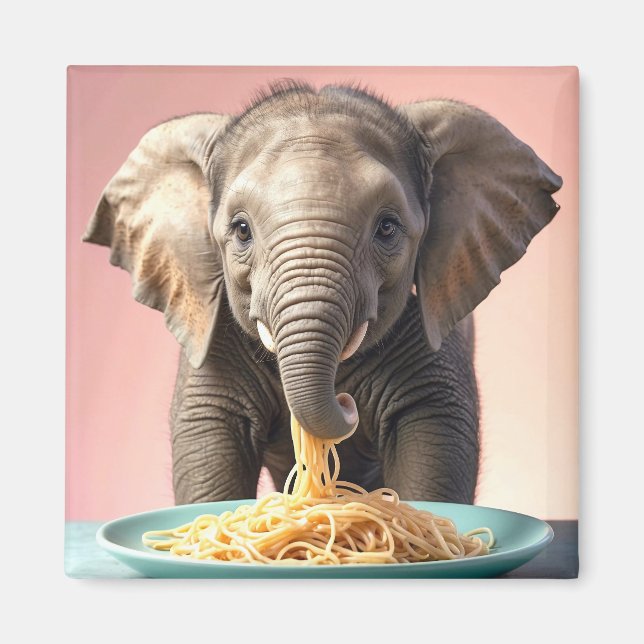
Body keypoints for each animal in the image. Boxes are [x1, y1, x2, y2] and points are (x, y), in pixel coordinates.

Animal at [83, 81, 562, 506]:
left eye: (387, 227)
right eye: (241, 230)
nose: (347, 405)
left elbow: (435, 445)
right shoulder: (211, 344)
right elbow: (207, 446)